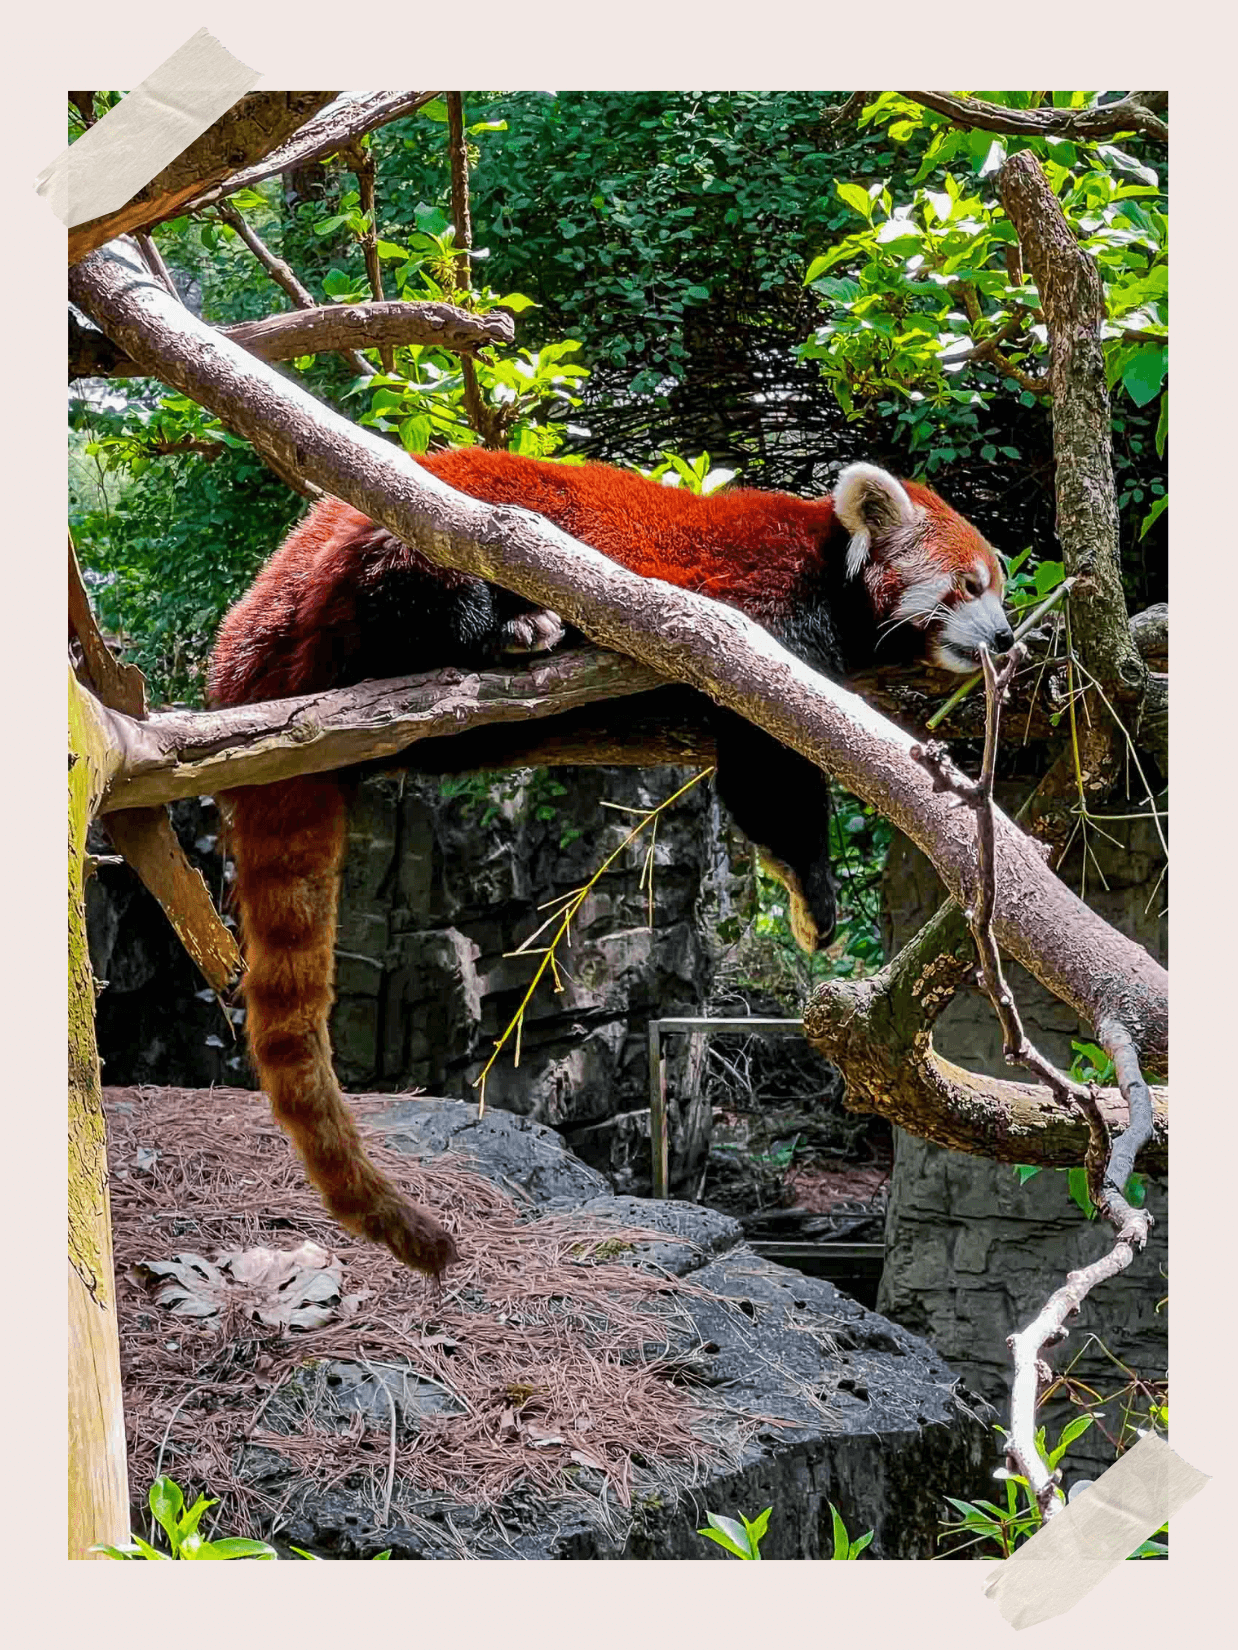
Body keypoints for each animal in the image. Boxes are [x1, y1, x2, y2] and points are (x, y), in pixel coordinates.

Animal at [206, 448, 1016, 1273]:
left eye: (1000, 588)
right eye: (969, 585)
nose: (1008, 639)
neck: (830, 567)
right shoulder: (763, 617)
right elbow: (769, 771)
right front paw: (810, 891)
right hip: (407, 543)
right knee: (421, 598)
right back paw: (512, 630)